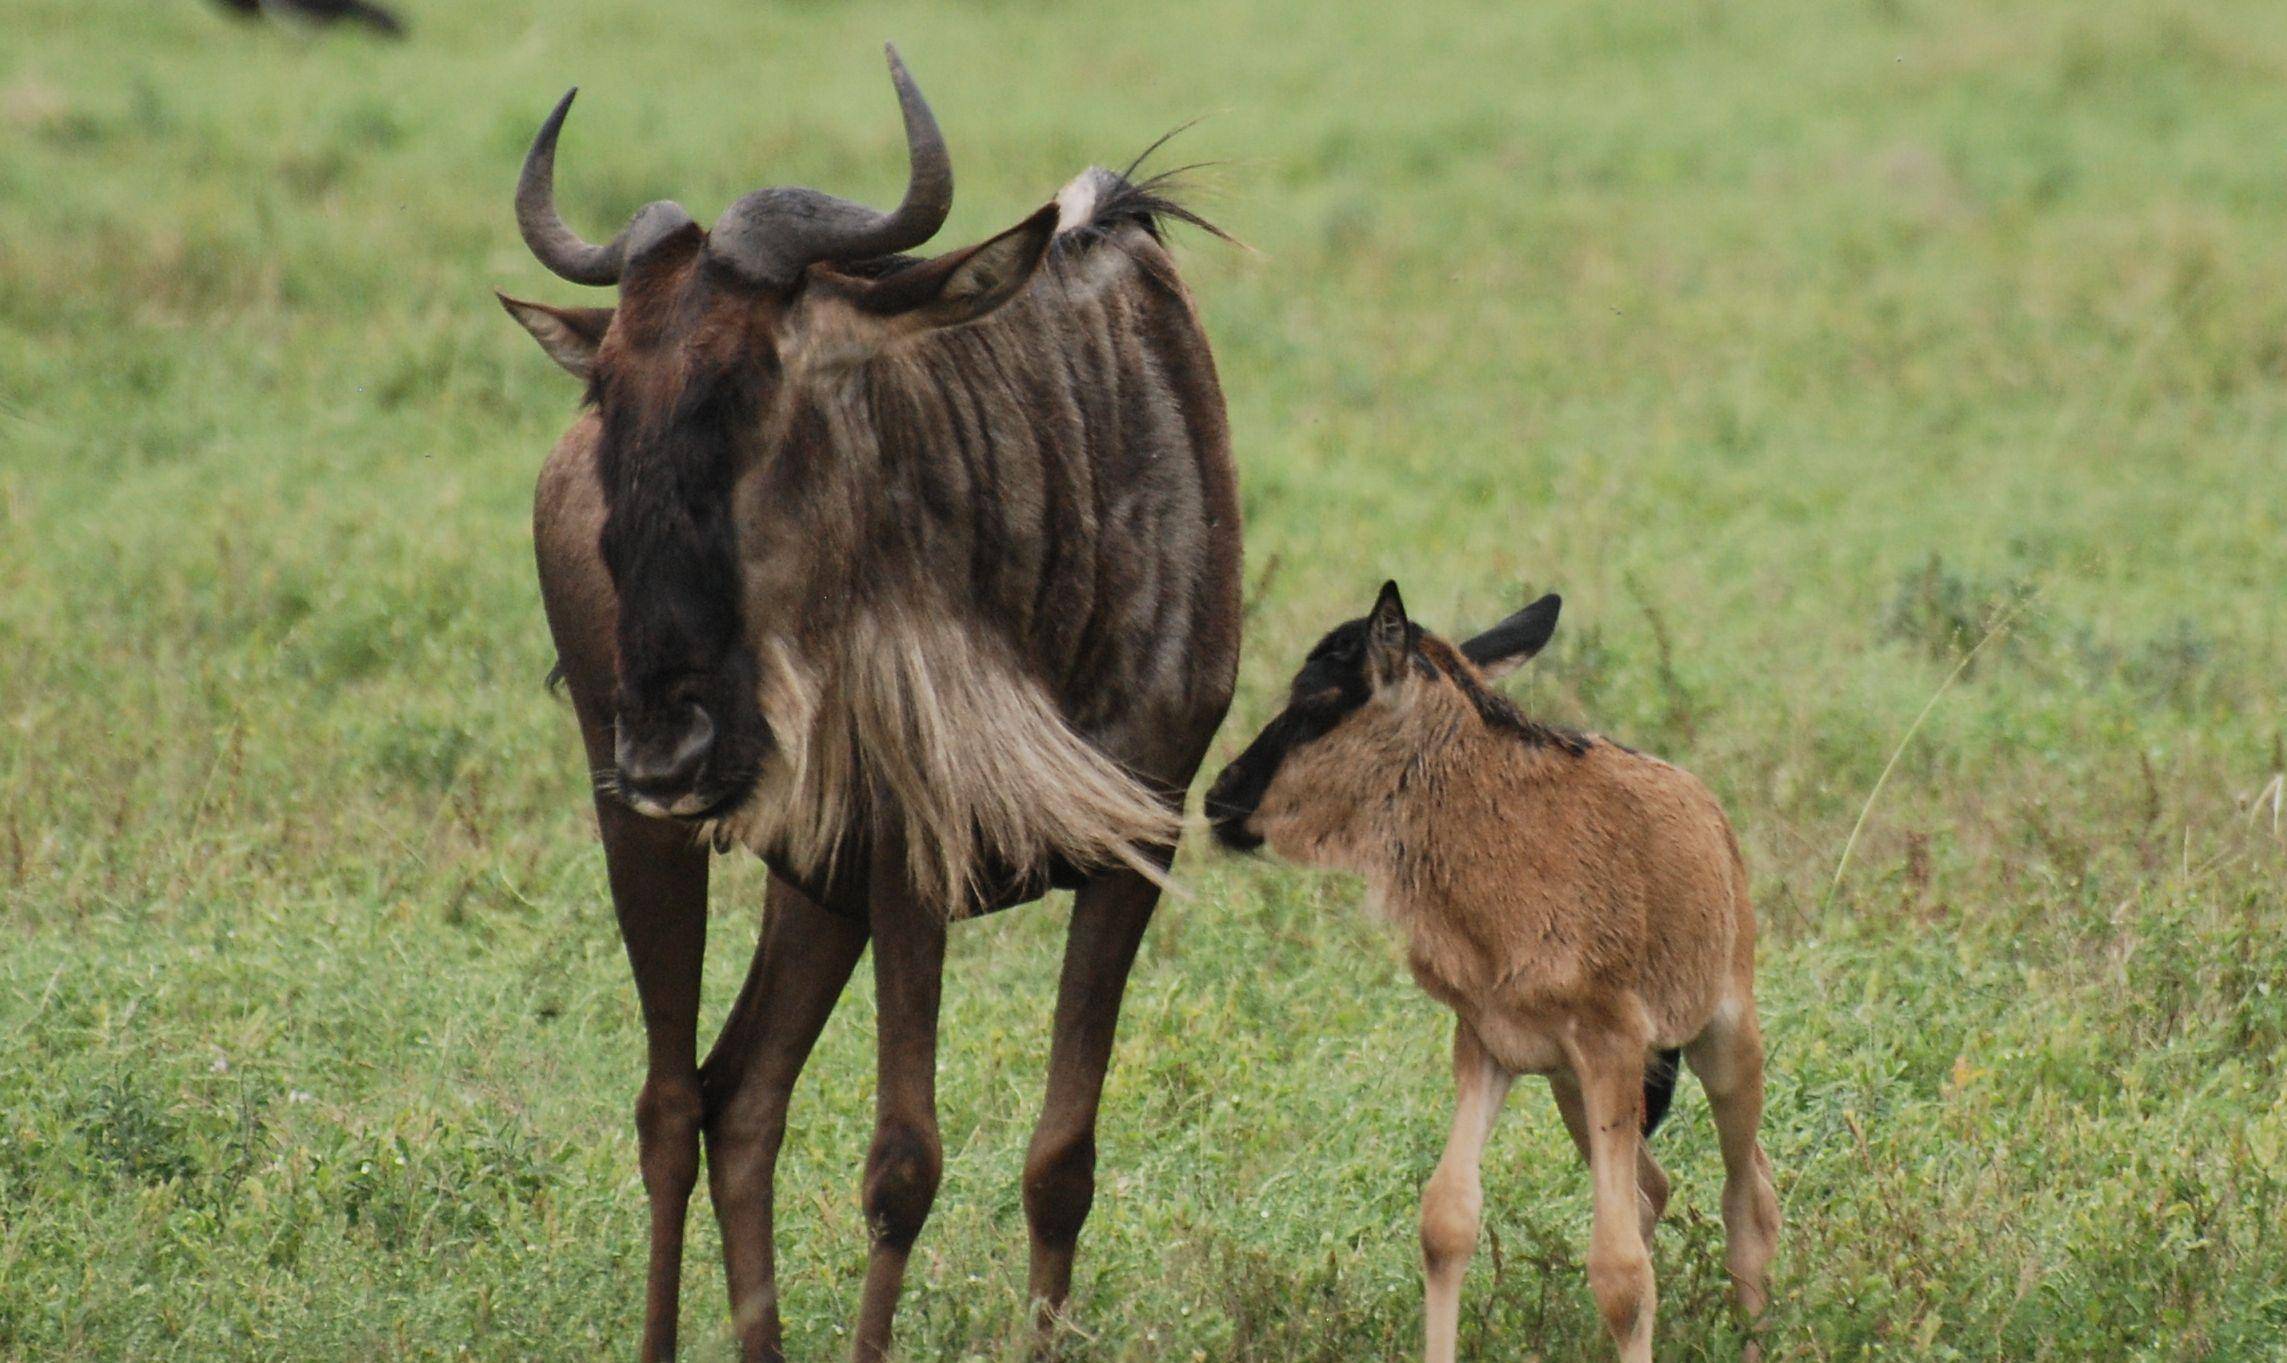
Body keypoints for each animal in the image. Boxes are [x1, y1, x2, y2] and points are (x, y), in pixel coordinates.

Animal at [1207, 583, 1774, 1363]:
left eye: (1316, 699)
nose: (1220, 796)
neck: (1495, 845)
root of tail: (1711, 815)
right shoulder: (1487, 1042)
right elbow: (1447, 1220)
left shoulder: (1608, 1043)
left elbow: (1621, 1274)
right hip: (1575, 1088)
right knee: (1652, 1191)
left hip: (1721, 1043)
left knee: (1747, 1201)